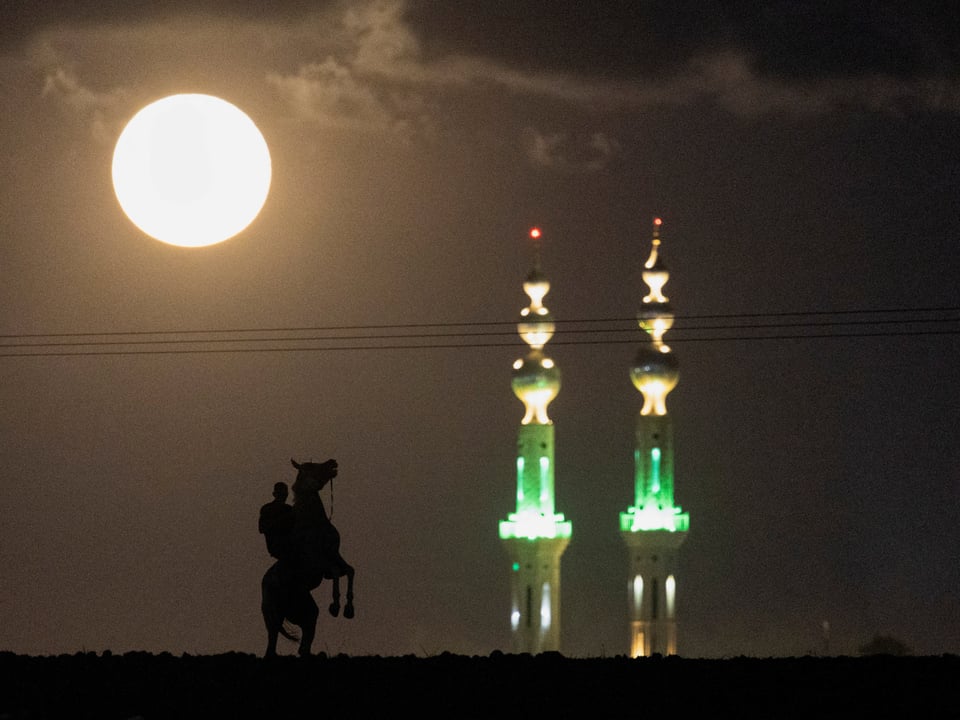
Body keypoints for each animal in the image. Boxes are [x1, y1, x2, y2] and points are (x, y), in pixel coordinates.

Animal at [260, 458, 354, 656]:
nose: (333, 462)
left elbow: (350, 570)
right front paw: (335, 607)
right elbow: (335, 571)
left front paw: (349, 610)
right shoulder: (318, 563)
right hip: (274, 618)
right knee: (272, 646)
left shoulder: (336, 556)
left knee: (304, 646)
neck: (314, 524)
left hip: (307, 612)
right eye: (312, 466)